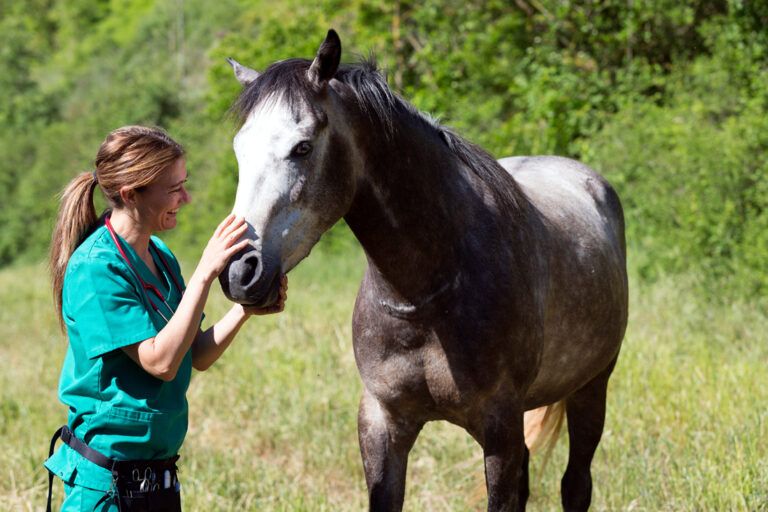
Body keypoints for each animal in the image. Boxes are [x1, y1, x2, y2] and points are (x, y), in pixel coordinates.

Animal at [219, 30, 628, 512]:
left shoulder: (499, 430)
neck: (428, 294)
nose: (239, 271)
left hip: (592, 388)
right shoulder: (382, 423)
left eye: (302, 147)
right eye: (240, 150)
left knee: (576, 483)